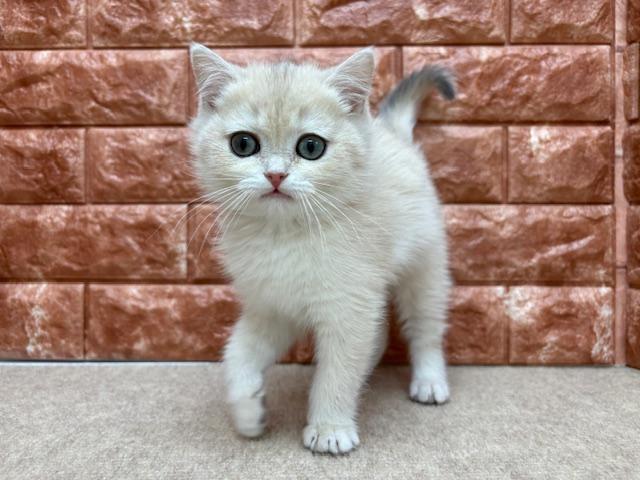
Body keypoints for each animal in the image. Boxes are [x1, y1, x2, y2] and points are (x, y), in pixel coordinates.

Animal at [189, 43, 455, 455]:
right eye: (243, 144)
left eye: (311, 147)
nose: (276, 175)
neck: (284, 236)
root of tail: (389, 130)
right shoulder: (272, 309)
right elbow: (236, 355)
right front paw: (248, 412)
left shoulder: (349, 310)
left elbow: (338, 374)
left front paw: (330, 429)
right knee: (379, 335)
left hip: (425, 270)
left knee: (424, 327)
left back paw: (429, 381)